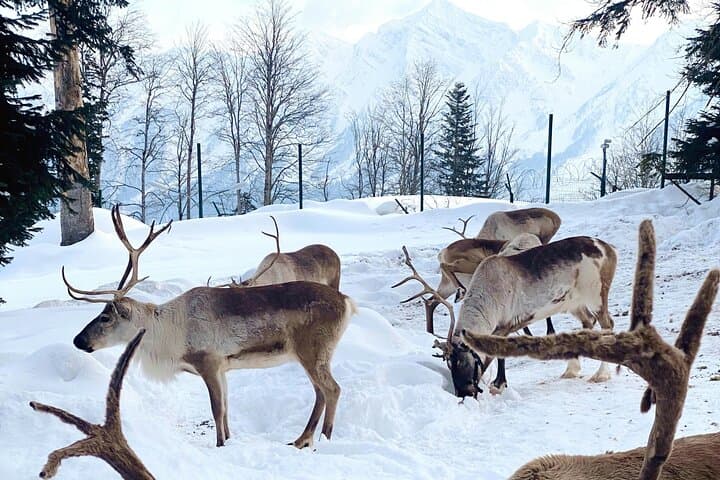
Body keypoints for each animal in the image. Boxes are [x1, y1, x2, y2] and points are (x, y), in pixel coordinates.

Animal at [66, 205, 357, 449]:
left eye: (106, 317)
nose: (78, 340)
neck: (168, 334)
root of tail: (347, 301)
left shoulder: (209, 361)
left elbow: (217, 408)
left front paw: (220, 444)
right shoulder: (224, 368)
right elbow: (226, 408)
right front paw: (228, 438)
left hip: (313, 350)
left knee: (332, 389)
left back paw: (321, 438)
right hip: (312, 354)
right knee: (321, 392)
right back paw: (302, 439)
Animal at [462, 220, 720, 480]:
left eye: (468, 367)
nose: (466, 394)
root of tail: (610, 248)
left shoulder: (506, 321)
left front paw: (499, 383)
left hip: (595, 294)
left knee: (606, 324)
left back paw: (600, 373)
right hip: (574, 301)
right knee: (588, 323)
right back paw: (574, 368)